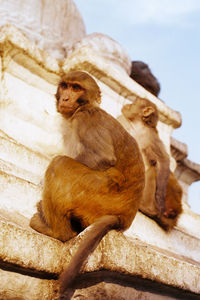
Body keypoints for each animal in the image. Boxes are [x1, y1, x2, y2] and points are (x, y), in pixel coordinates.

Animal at [29, 71, 145, 298]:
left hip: (97, 195)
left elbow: (102, 158)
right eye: (65, 86)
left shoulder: (86, 117)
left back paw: (58, 232)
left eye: (76, 88)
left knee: (60, 163)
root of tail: (124, 218)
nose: (66, 98)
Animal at [121, 98, 182, 230]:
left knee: (153, 169)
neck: (138, 127)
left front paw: (159, 200)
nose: (127, 105)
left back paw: (148, 209)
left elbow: (163, 160)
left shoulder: (150, 136)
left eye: (134, 103)